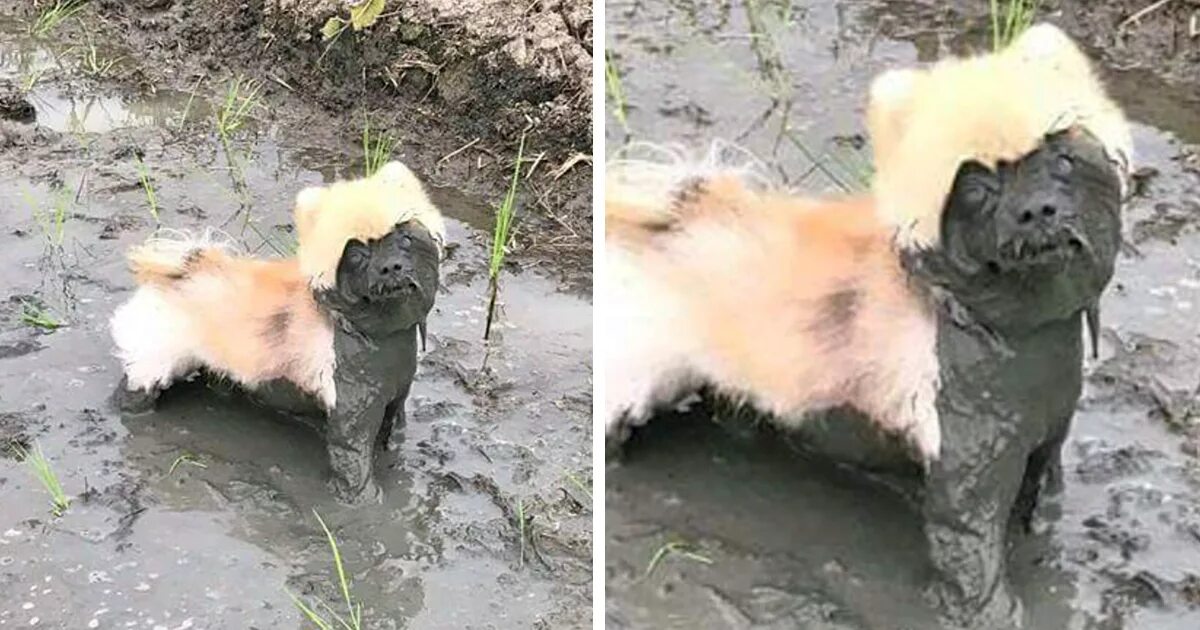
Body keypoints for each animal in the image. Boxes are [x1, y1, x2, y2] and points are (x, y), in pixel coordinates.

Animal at [108, 160, 444, 501]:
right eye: (356, 254)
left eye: (404, 238)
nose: (390, 267)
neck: (375, 334)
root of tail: (181, 273)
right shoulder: (352, 415)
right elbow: (354, 463)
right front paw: (364, 502)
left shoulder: (394, 399)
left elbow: (393, 433)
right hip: (154, 360)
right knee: (135, 386)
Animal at [604, 23, 1128, 624]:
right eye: (976, 188)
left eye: (1061, 157)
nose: (1037, 210)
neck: (1010, 332)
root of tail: (670, 221)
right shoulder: (967, 471)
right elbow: (973, 555)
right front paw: (993, 614)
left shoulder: (1045, 442)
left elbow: (1043, 504)